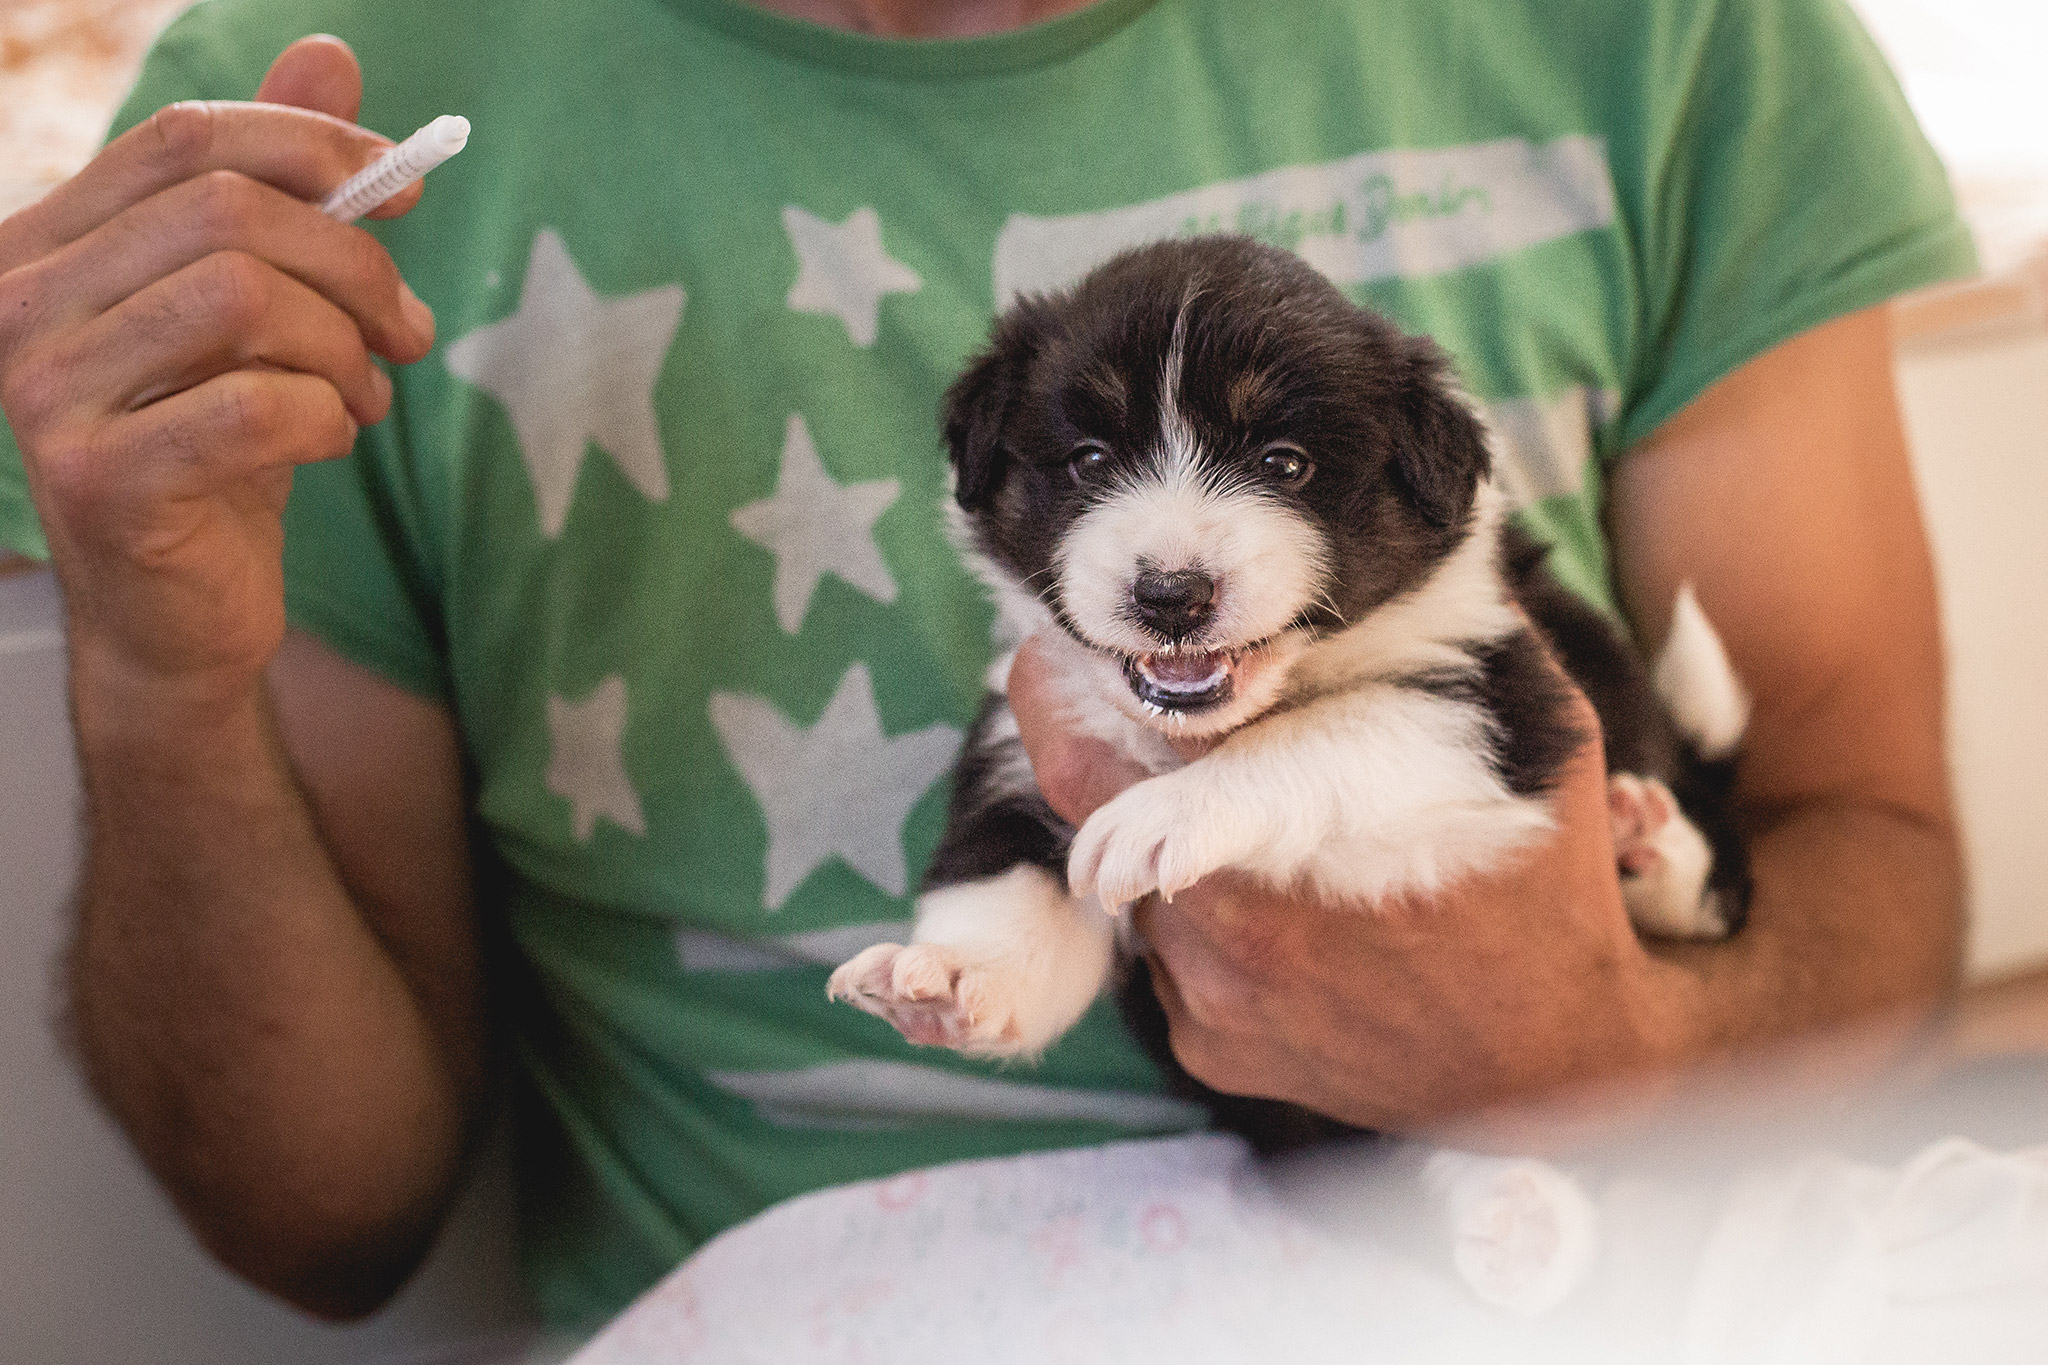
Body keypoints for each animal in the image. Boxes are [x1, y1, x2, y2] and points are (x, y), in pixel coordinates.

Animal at [823, 240, 1753, 1146]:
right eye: (1088, 459)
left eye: (1285, 463)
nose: (1170, 595)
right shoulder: (1029, 730)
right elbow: (1003, 870)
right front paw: (947, 976)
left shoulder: (1496, 696)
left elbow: (1336, 726)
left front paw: (1164, 816)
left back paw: (1648, 840)